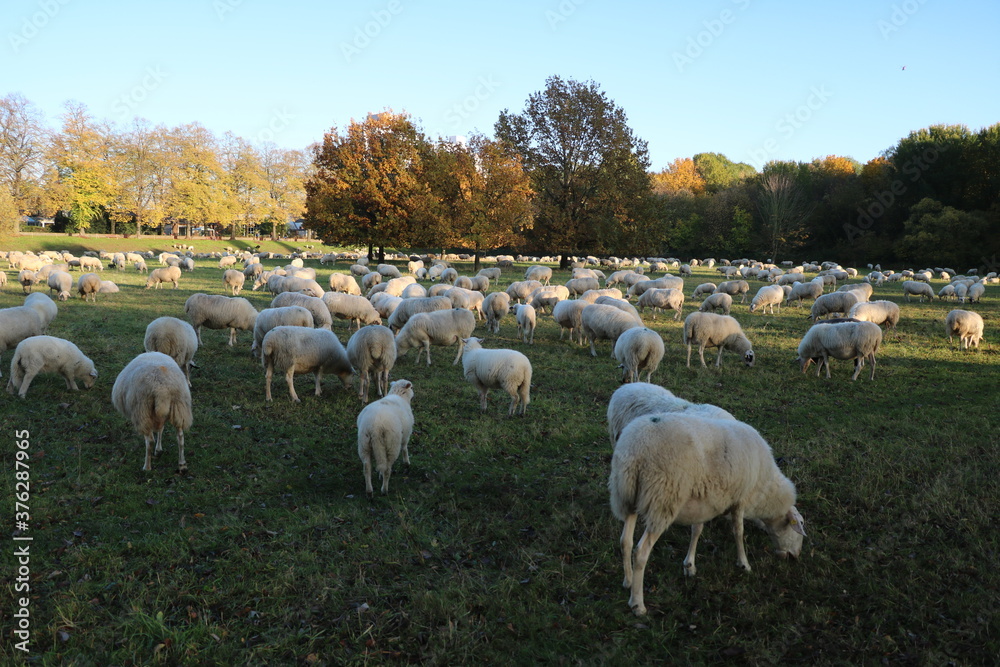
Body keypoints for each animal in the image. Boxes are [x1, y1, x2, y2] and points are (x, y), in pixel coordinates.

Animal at [609, 412, 805, 616]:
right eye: (800, 527)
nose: (796, 556)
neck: (765, 489)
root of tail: (635, 449)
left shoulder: (703, 500)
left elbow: (697, 530)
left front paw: (689, 565)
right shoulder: (740, 499)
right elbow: (738, 532)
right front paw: (744, 564)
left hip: (626, 497)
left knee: (625, 541)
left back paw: (628, 581)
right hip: (663, 500)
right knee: (640, 552)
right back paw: (637, 603)